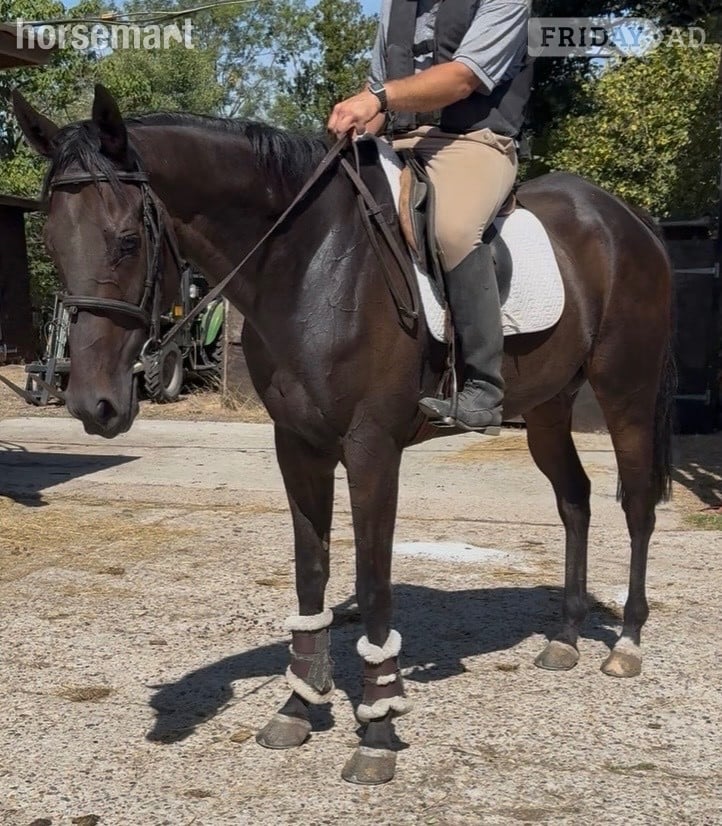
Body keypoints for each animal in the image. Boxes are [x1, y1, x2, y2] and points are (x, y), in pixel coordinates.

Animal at [13, 85, 674, 785]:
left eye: (126, 239)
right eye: (50, 242)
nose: (94, 404)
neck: (313, 263)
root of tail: (626, 220)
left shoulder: (371, 449)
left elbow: (374, 579)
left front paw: (377, 726)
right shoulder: (297, 446)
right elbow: (313, 570)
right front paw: (299, 705)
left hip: (626, 394)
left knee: (636, 506)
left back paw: (626, 642)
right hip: (548, 409)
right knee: (574, 500)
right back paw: (566, 638)